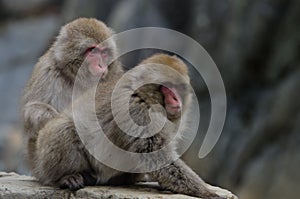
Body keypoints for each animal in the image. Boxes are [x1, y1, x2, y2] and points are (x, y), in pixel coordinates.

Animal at [21, 17, 123, 168]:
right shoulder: (46, 72)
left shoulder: (114, 73)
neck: (78, 78)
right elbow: (33, 110)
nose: (101, 66)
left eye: (104, 52)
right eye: (92, 50)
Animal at [30, 53, 237, 199]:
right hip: (44, 155)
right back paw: (66, 177)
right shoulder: (138, 113)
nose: (177, 100)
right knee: (65, 129)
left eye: (179, 88)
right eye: (167, 87)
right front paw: (207, 192)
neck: (144, 96)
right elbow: (156, 156)